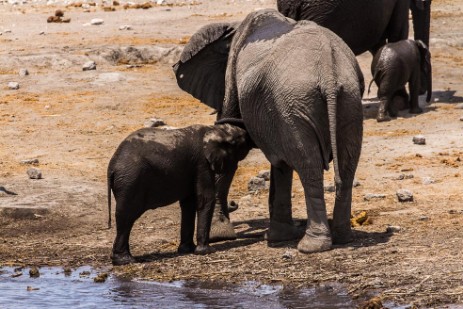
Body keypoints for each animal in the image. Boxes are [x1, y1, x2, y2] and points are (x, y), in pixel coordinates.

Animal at [107, 123, 252, 264]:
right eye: (238, 140)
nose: (247, 135)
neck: (214, 130)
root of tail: (112, 166)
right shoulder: (202, 163)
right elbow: (205, 198)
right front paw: (207, 251)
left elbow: (189, 203)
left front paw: (187, 250)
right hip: (130, 181)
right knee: (126, 216)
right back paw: (125, 261)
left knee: (124, 217)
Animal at [174, 9, 366, 253]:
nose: (235, 204)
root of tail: (328, 73)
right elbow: (278, 161)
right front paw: (279, 235)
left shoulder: (234, 75)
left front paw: (222, 234)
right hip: (346, 102)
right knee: (347, 163)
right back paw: (342, 237)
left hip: (297, 104)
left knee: (309, 165)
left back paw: (311, 246)